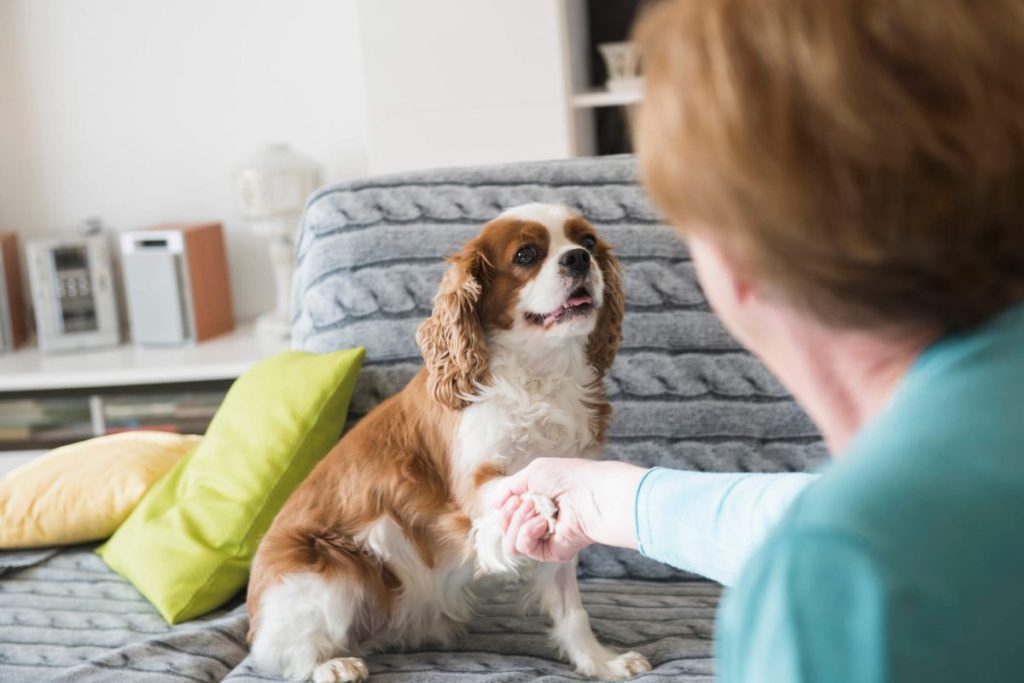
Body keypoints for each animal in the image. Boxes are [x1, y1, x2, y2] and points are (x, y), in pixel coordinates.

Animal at [245, 201, 647, 679]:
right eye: (527, 255)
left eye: (586, 242)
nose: (578, 259)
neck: (540, 371)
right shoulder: (471, 488)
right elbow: (514, 482)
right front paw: (539, 499)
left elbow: (572, 610)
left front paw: (600, 662)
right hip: (332, 568)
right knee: (280, 653)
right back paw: (330, 665)